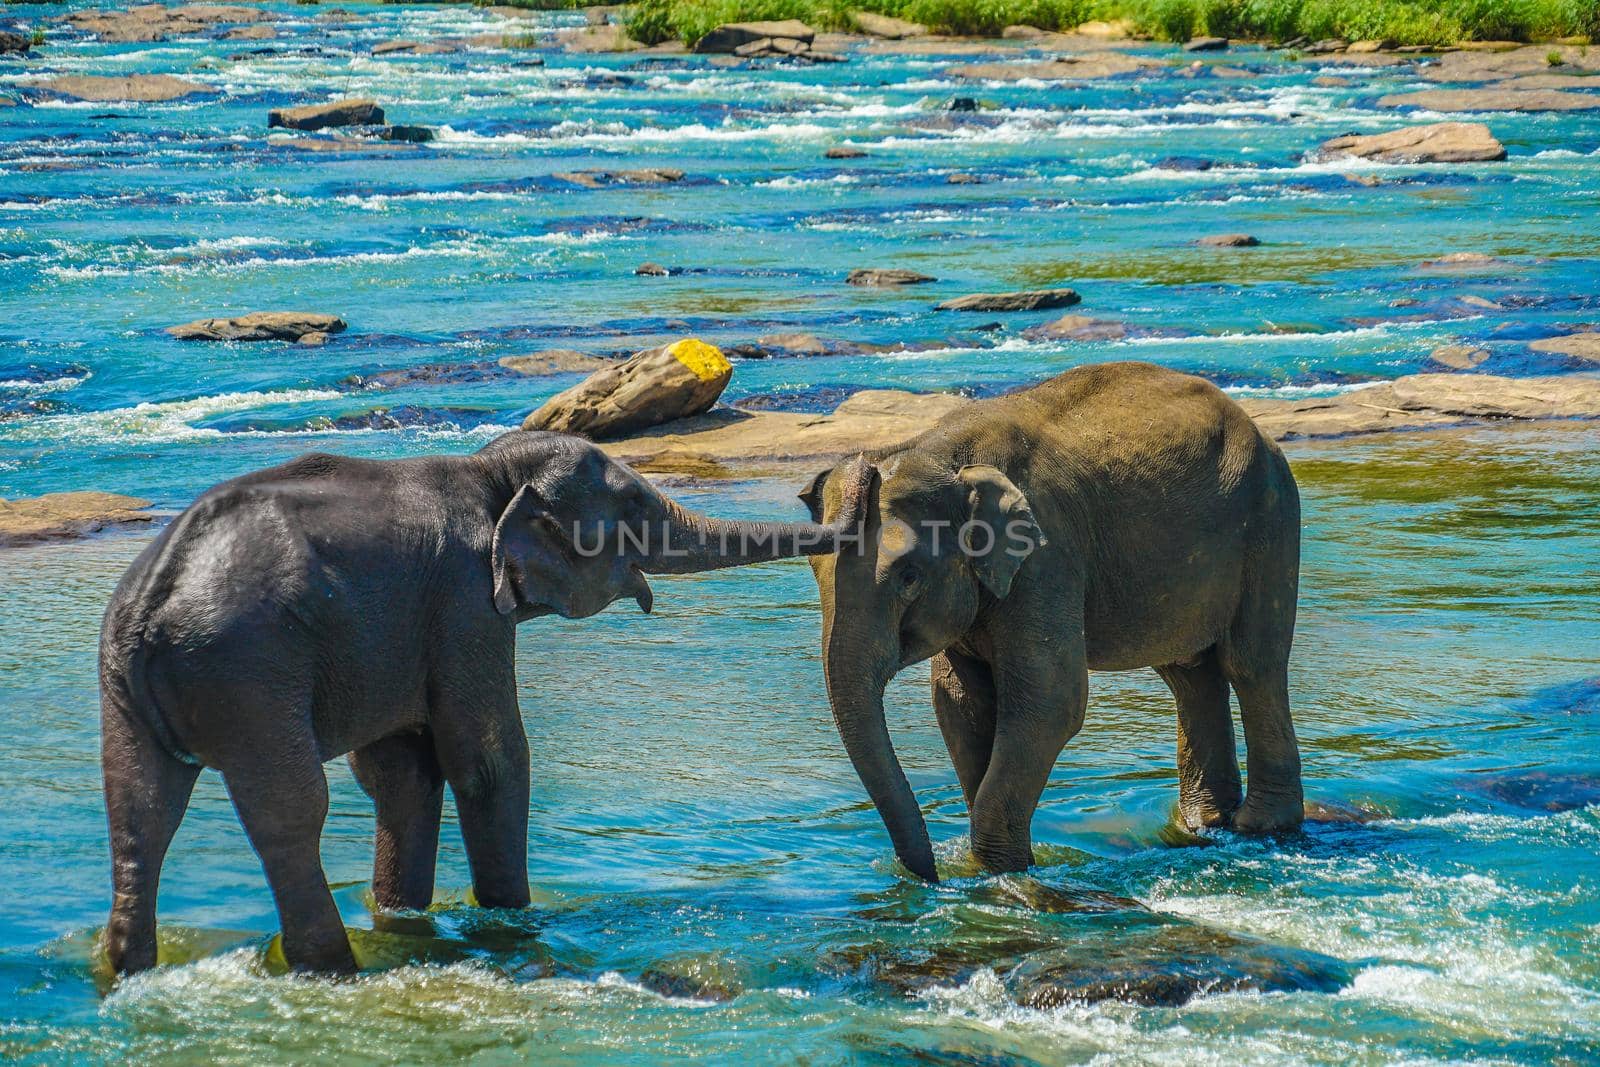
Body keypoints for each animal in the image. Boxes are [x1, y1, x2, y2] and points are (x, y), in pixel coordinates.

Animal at [100, 428, 864, 979]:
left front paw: (406, 916)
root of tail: (155, 598)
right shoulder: (465, 601)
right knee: (291, 810)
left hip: (128, 685)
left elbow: (403, 771)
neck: (489, 472)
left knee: (140, 811)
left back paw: (128, 971)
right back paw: (335, 969)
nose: (853, 482)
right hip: (249, 673)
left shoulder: (402, 632)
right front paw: (513, 923)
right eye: (635, 510)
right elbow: (488, 760)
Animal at [796, 363, 1299, 883]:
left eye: (908, 576)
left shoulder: (1046, 555)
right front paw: (991, 868)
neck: (938, 453)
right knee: (1190, 674)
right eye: (813, 568)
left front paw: (1004, 870)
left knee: (1251, 665)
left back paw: (1260, 826)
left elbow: (1051, 698)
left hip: (1271, 519)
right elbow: (960, 702)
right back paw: (1204, 824)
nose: (931, 877)